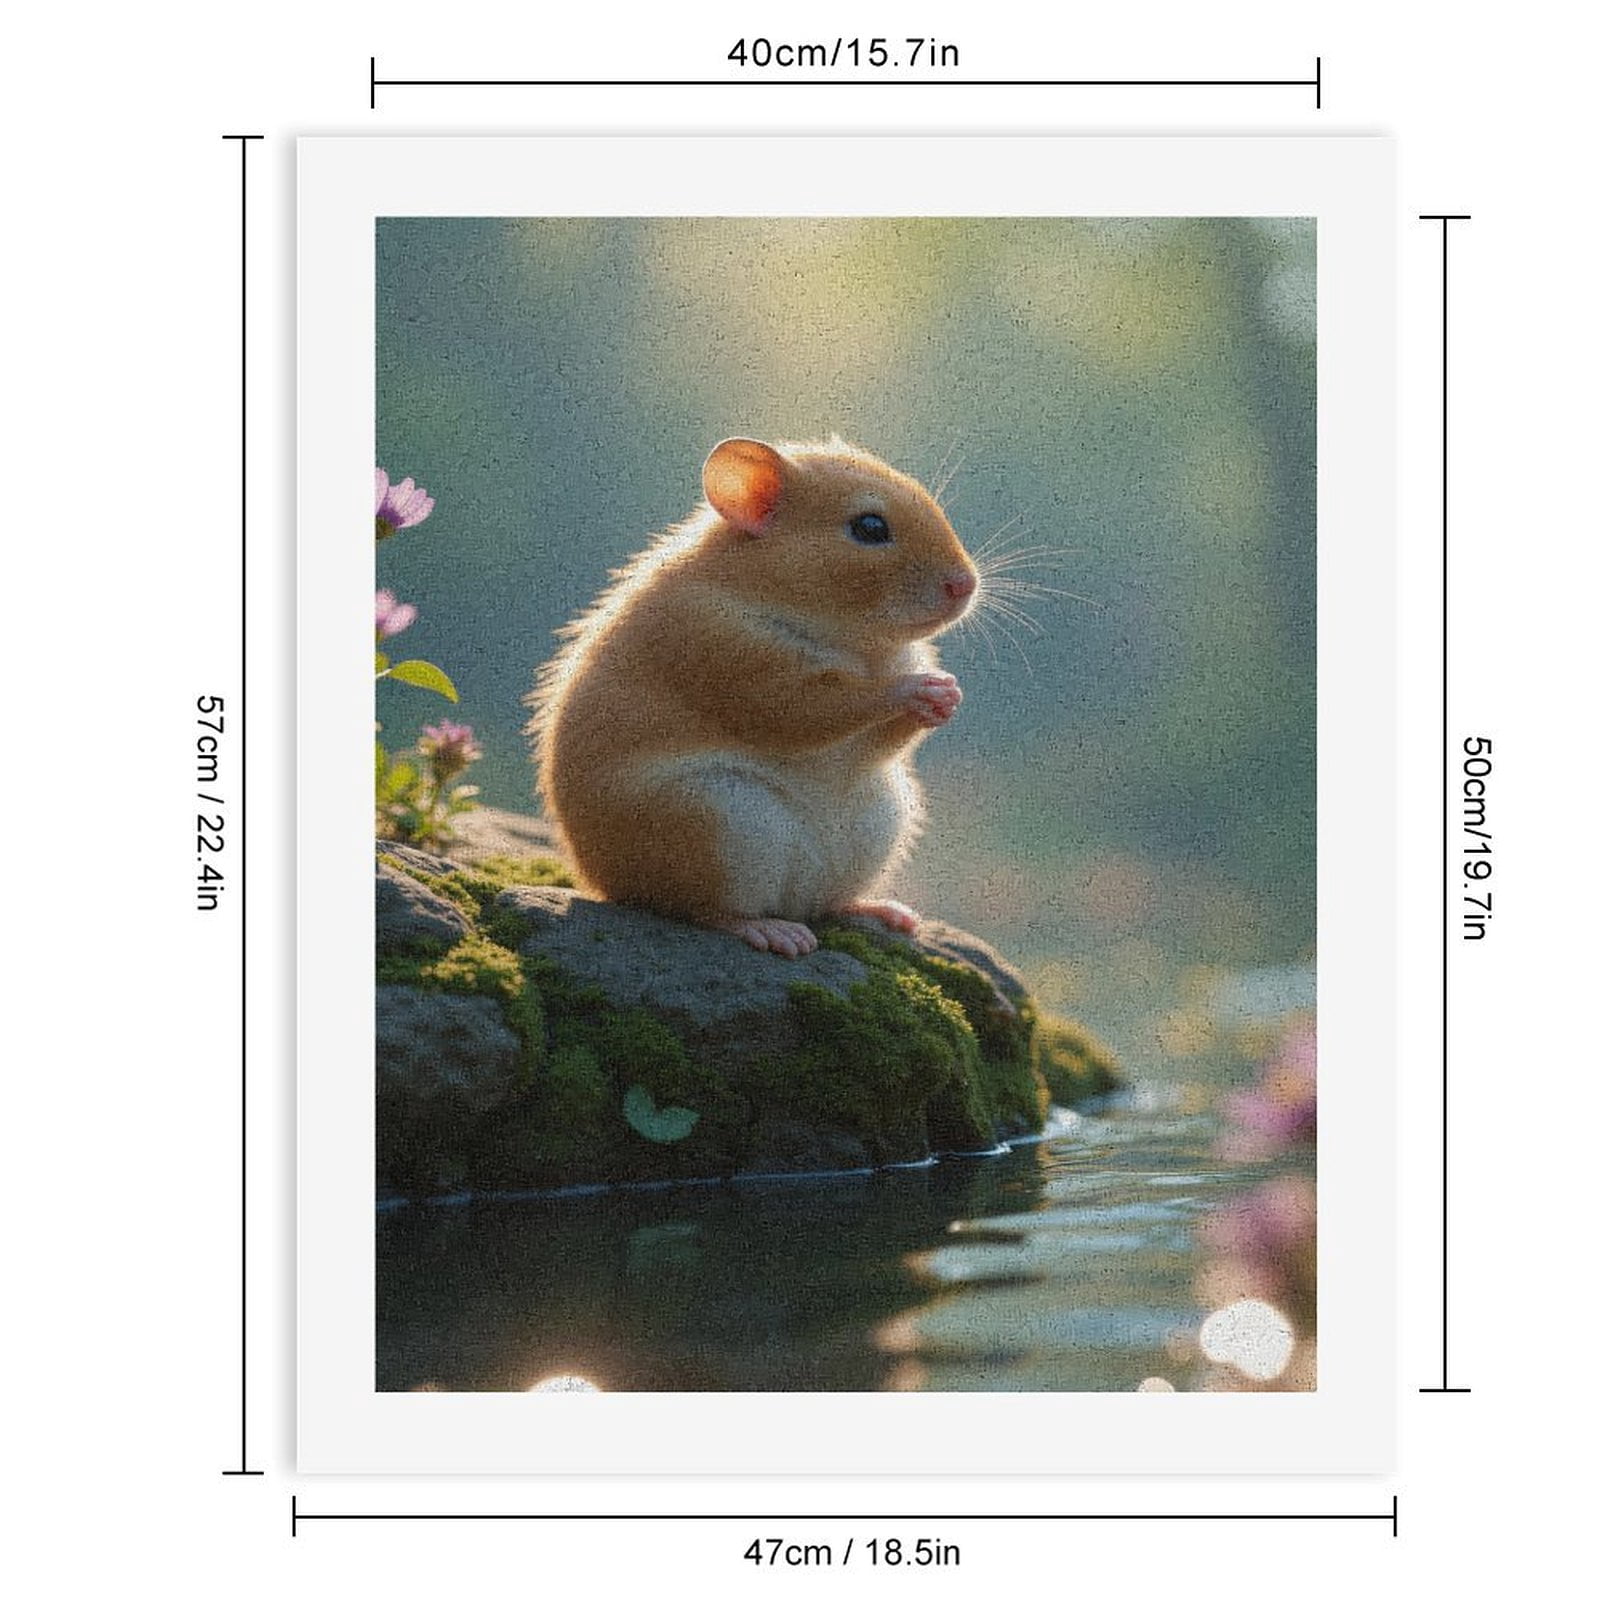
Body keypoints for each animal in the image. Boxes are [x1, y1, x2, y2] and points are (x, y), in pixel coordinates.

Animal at [528, 436, 978, 958]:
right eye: (869, 527)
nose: (966, 584)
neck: (858, 641)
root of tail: (603, 885)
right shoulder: (731, 656)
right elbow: (817, 707)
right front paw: (914, 689)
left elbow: (879, 742)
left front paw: (946, 696)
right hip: (716, 822)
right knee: (696, 910)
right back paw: (769, 931)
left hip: (878, 823)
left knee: (825, 904)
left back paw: (879, 911)